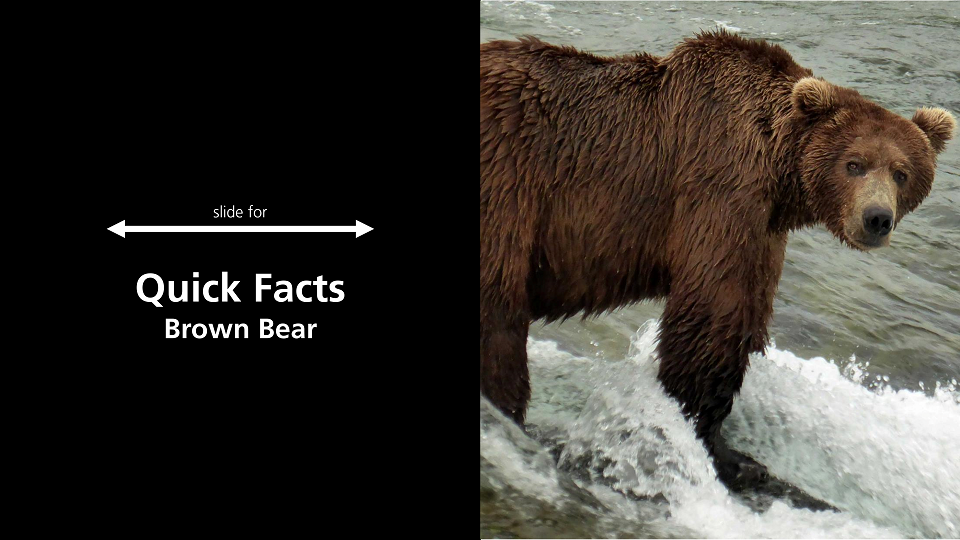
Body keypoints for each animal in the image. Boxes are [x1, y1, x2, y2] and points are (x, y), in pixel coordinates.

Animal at [479, 31, 955, 486]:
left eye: (901, 172)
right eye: (854, 164)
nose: (877, 218)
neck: (781, 174)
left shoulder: (766, 230)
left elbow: (750, 308)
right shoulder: (721, 184)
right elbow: (714, 309)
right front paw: (725, 451)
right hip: (508, 180)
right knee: (499, 307)